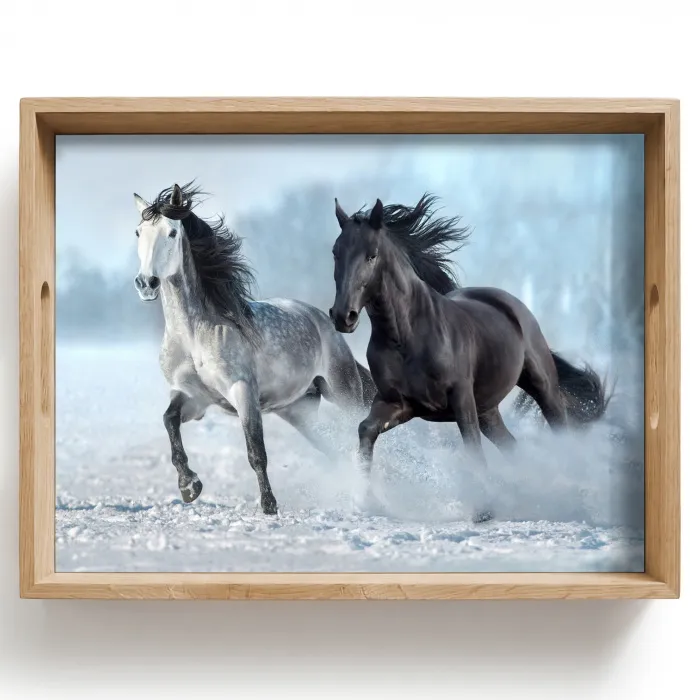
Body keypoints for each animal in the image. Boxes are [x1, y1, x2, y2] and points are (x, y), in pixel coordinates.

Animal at [132, 181, 375, 515]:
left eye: (171, 232)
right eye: (138, 232)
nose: (147, 283)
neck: (194, 335)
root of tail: (321, 320)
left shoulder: (243, 392)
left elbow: (256, 452)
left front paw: (269, 506)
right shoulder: (193, 397)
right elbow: (169, 421)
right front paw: (189, 486)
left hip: (343, 392)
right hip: (298, 411)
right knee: (335, 450)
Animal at [329, 193, 609, 499]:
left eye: (372, 254)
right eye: (335, 252)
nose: (343, 316)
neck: (406, 337)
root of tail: (509, 302)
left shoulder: (461, 400)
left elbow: (474, 452)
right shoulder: (399, 403)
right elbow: (366, 429)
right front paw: (364, 493)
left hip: (541, 386)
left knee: (559, 428)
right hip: (488, 409)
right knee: (512, 446)